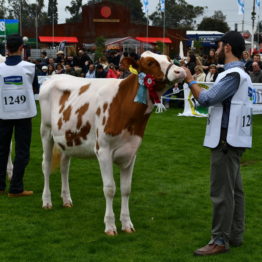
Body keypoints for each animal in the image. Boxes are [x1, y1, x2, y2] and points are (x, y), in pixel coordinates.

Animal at [40, 50, 185, 234]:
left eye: (168, 58)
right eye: (150, 63)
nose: (180, 71)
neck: (124, 106)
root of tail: (53, 77)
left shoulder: (131, 152)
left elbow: (126, 189)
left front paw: (127, 223)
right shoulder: (103, 151)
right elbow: (109, 189)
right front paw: (110, 225)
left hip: (67, 139)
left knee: (65, 167)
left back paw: (66, 200)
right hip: (46, 131)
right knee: (46, 165)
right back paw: (47, 201)